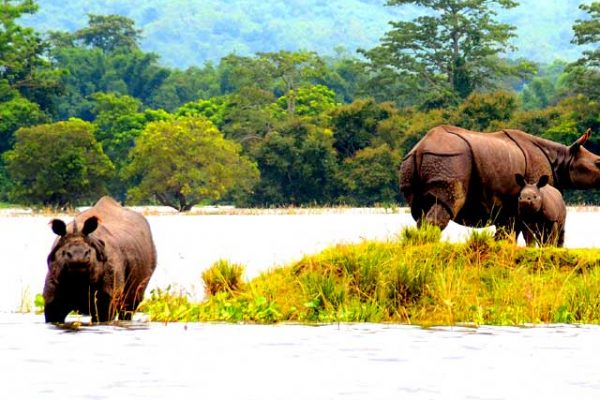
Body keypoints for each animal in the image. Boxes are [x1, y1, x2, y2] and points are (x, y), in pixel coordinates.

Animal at [44, 195, 157, 324]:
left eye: (89, 251)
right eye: (64, 252)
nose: (78, 257)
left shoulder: (108, 297)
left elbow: (103, 314)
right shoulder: (52, 296)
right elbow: (54, 314)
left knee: (129, 307)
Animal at [398, 126, 600, 236]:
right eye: (598, 162)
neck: (562, 159)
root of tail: (419, 149)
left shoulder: (508, 206)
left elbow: (506, 233)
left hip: (412, 162)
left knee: (419, 212)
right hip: (449, 159)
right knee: (446, 204)